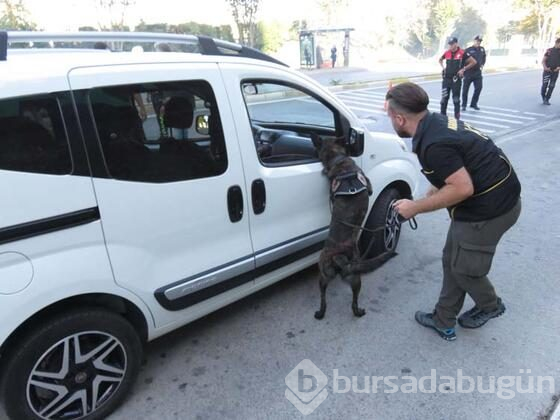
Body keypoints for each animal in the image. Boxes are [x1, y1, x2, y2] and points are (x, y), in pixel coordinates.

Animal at [310, 135, 398, 318]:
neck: (339, 159)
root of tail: (338, 257)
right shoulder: (369, 187)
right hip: (352, 278)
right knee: (350, 301)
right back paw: (354, 312)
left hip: (325, 274)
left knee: (324, 297)